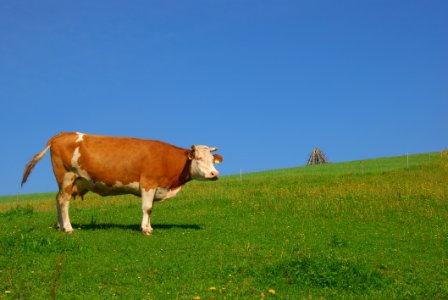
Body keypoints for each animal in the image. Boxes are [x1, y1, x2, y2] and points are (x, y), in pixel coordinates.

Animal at [21, 132, 224, 236]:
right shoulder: (148, 183)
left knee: (57, 199)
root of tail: (61, 135)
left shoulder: (154, 187)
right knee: (63, 202)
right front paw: (145, 229)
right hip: (67, 176)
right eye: (198, 158)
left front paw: (148, 226)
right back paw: (69, 228)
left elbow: (149, 209)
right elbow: (147, 208)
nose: (215, 174)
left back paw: (60, 226)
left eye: (212, 160)